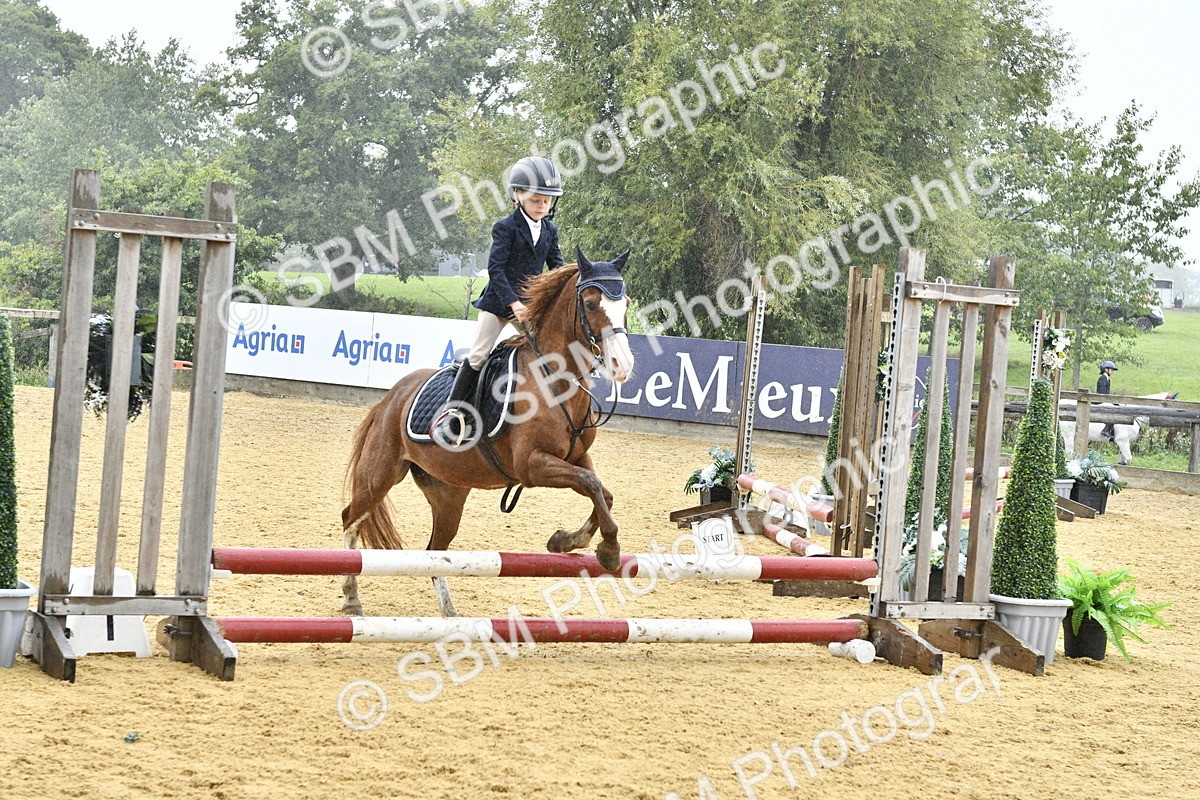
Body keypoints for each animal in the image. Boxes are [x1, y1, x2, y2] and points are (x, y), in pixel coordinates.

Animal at [340, 249, 636, 616]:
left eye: (626, 303)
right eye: (592, 304)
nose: (623, 365)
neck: (554, 378)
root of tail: (391, 396)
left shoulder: (577, 456)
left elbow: (601, 493)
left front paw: (567, 541)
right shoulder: (532, 465)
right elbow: (591, 485)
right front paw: (607, 550)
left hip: (448, 492)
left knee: (434, 550)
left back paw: (450, 614)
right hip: (379, 475)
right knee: (350, 519)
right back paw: (351, 598)